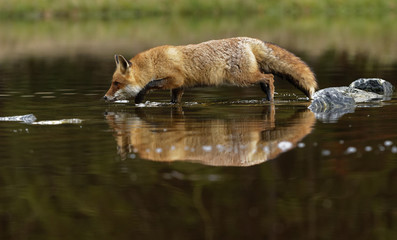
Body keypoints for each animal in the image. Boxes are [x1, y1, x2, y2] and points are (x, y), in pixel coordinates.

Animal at [103, 36, 318, 103]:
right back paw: (267, 95)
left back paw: (270, 97)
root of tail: (248, 39)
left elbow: (149, 84)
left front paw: (139, 99)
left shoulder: (175, 80)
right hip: (247, 77)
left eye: (116, 83)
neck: (154, 63)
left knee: (270, 77)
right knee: (266, 78)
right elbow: (174, 102)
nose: (104, 98)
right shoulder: (179, 87)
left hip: (242, 78)